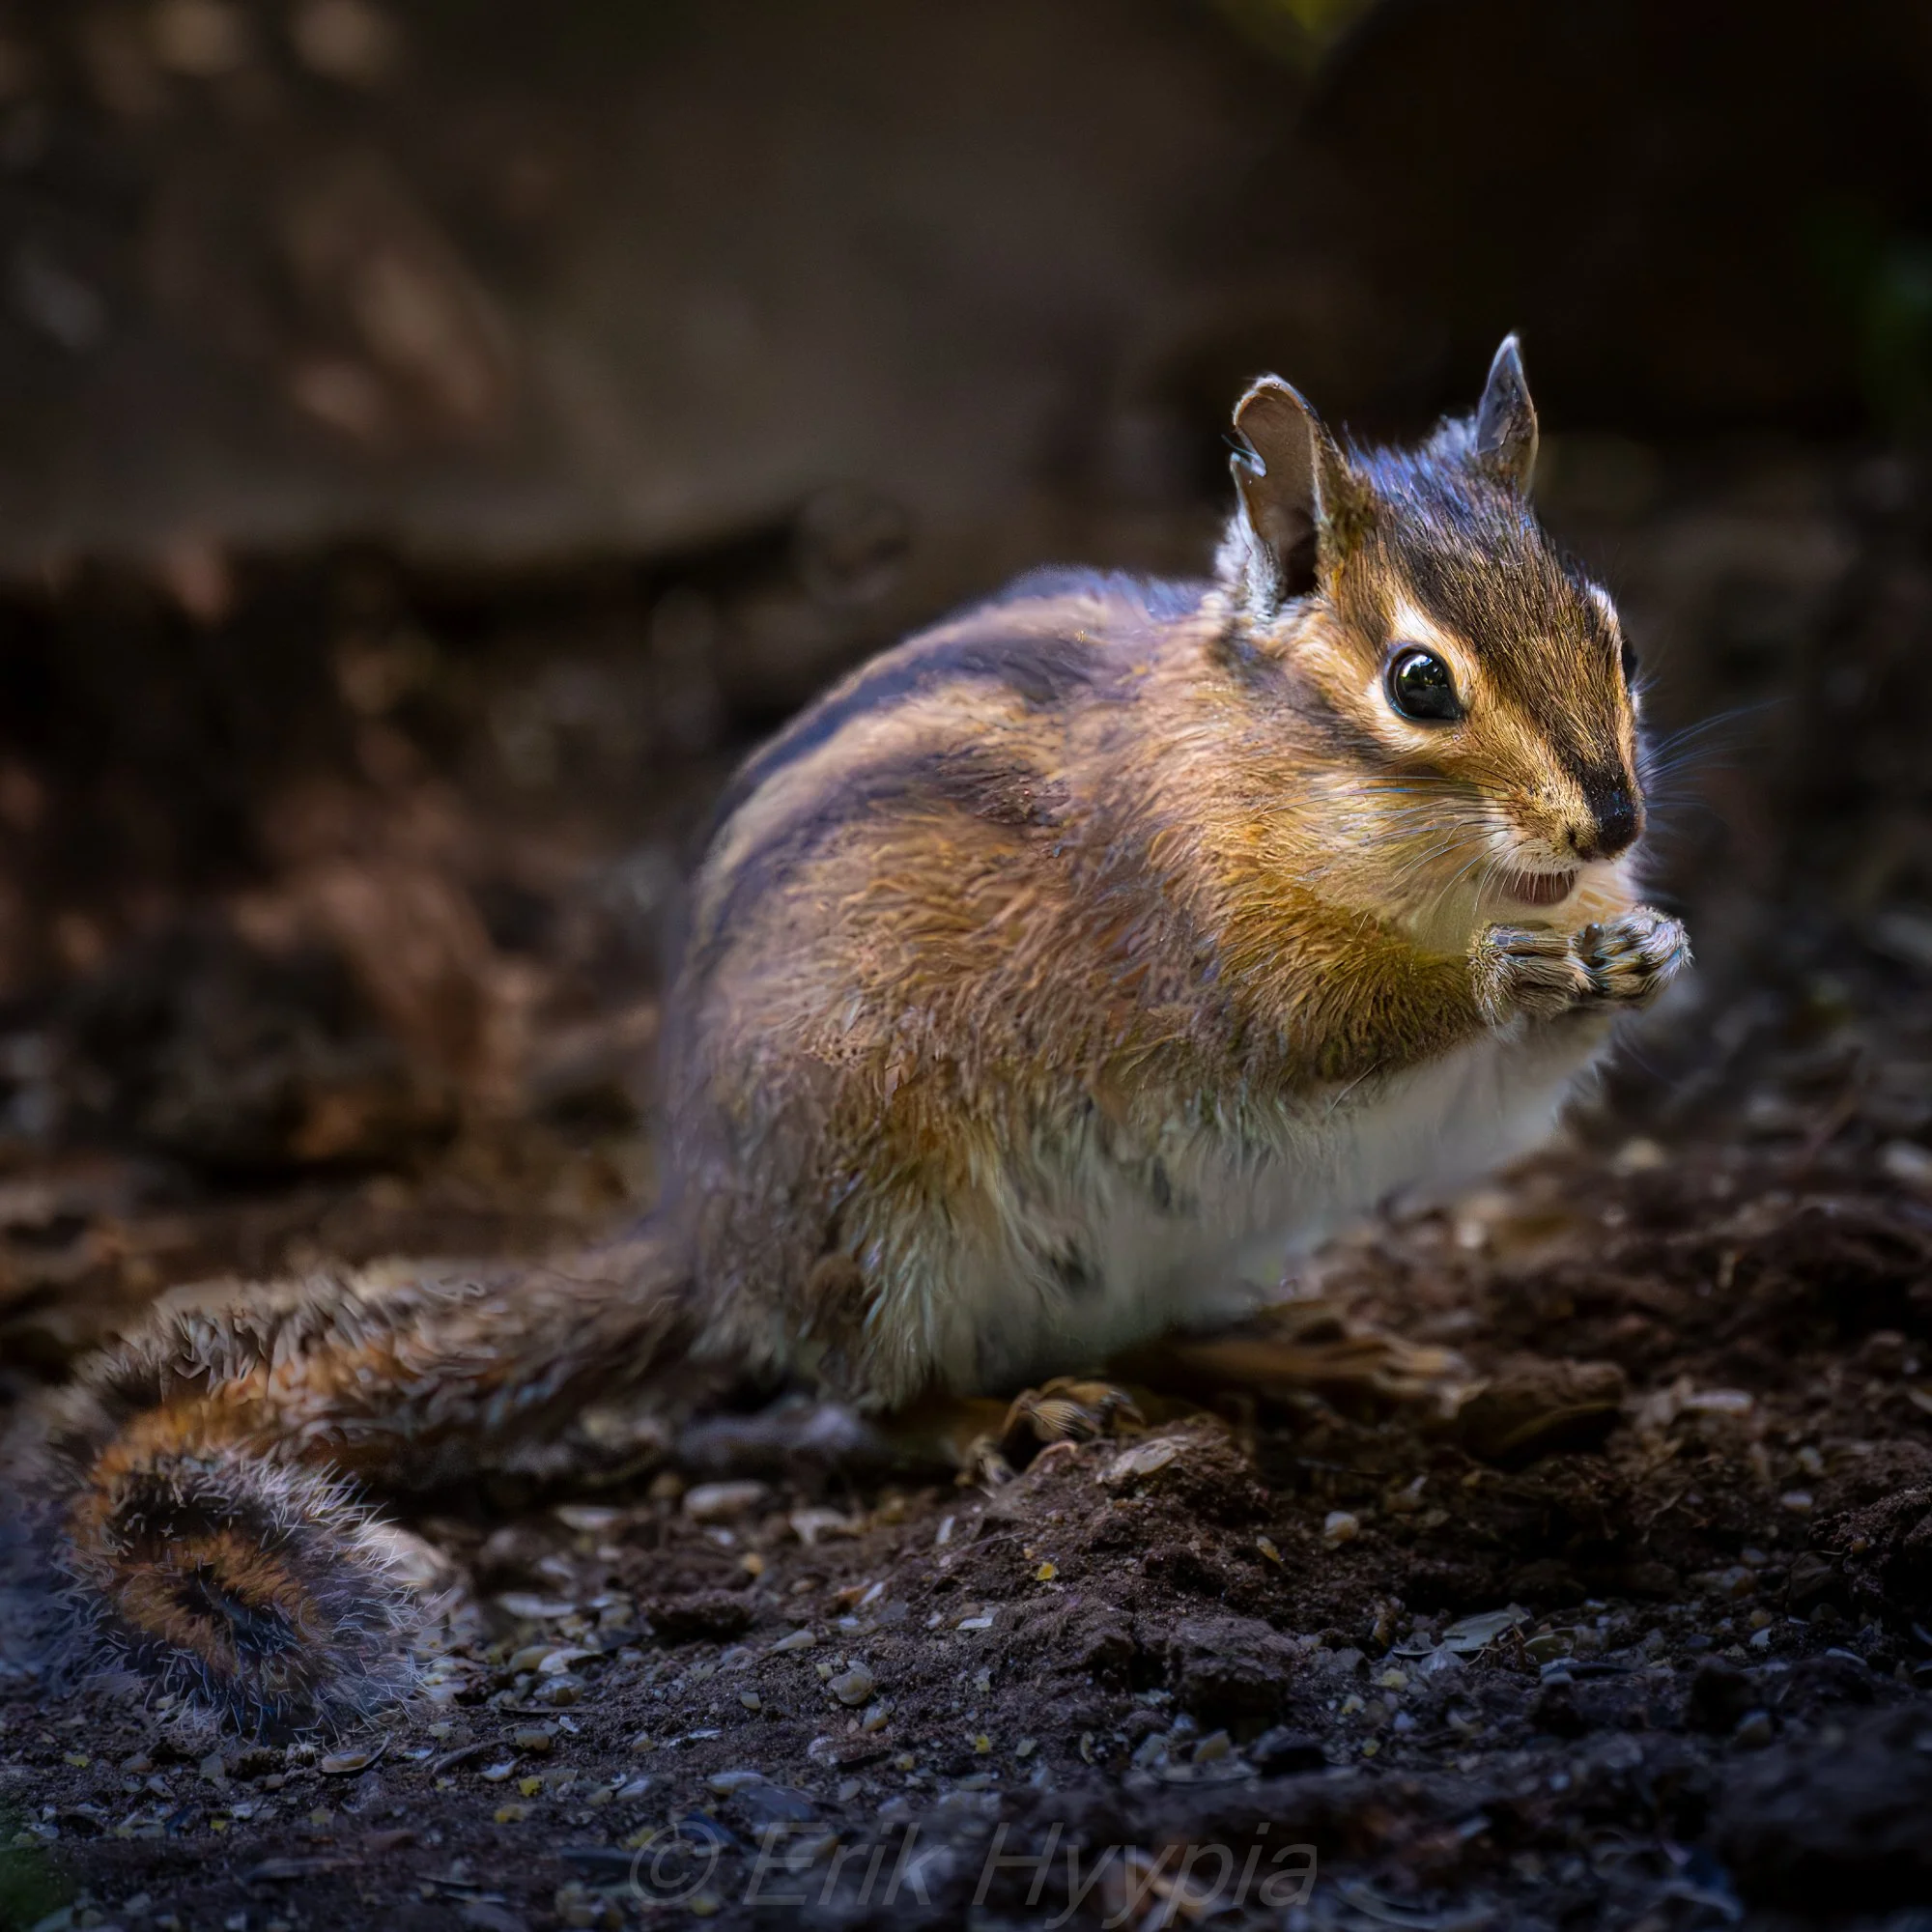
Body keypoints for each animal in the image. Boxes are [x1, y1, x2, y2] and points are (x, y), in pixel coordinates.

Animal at [2, 338, 1688, 1730]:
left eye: (1613, 632)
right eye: (1419, 684)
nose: (1613, 819)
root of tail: (705, 1233)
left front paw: (1644, 948)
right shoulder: (1210, 937)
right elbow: (1325, 1021)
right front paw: (1507, 973)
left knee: (1131, 1329)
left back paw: (1292, 1351)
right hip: (882, 1205)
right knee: (867, 1397)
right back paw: (1012, 1417)